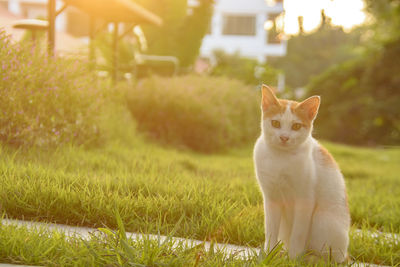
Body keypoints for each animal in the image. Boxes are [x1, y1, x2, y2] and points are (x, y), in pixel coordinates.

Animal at [253, 85, 350, 264]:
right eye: (275, 123)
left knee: (330, 259)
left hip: (321, 219)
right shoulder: (271, 199)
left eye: (296, 126)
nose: (284, 137)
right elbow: (270, 231)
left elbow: (298, 234)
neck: (281, 158)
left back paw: (308, 258)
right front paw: (269, 255)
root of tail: (346, 254)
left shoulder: (305, 201)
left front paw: (293, 259)